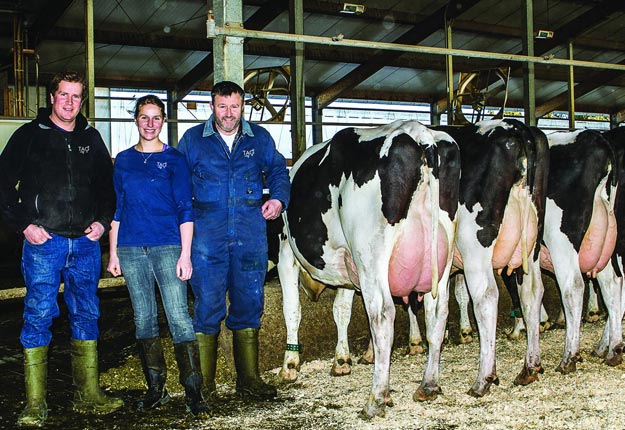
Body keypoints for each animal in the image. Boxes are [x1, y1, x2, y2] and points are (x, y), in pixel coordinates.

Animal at [276, 119, 458, 418]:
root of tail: (418, 132)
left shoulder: (285, 253)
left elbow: (292, 310)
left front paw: (289, 365)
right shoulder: (348, 265)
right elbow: (341, 311)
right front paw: (341, 360)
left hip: (370, 253)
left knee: (383, 314)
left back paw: (376, 399)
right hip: (440, 255)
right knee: (438, 311)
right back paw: (428, 385)